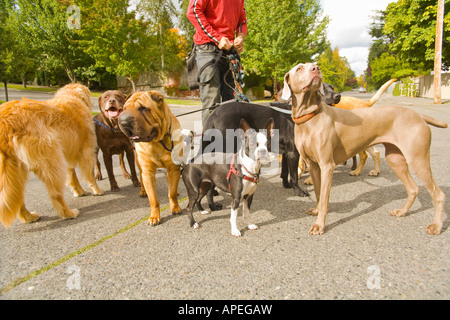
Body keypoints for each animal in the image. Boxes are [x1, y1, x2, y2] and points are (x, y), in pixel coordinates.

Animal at [0, 82, 103, 228]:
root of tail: (5, 120)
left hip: (16, 170)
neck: (72, 97)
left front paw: (79, 191)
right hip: (51, 160)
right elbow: (90, 175)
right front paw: (97, 190)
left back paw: (29, 217)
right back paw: (69, 213)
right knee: (56, 194)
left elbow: (72, 174)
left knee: (17, 197)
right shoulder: (87, 150)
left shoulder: (67, 153)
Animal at [118, 90, 185, 225]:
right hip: (140, 166)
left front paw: (175, 207)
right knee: (141, 179)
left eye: (143, 108)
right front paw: (154, 216)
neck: (157, 141)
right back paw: (143, 191)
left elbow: (172, 193)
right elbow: (153, 199)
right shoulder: (148, 172)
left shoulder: (173, 168)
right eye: (124, 109)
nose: (122, 121)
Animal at [284, 63, 448, 236]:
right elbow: (317, 192)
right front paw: (315, 210)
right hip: (395, 159)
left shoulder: (327, 166)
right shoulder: (313, 165)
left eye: (314, 66)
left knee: (438, 194)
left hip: (417, 159)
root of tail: (418, 115)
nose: (316, 68)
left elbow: (324, 199)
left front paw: (319, 225)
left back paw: (436, 226)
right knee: (413, 188)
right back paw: (402, 211)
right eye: (299, 68)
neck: (310, 118)